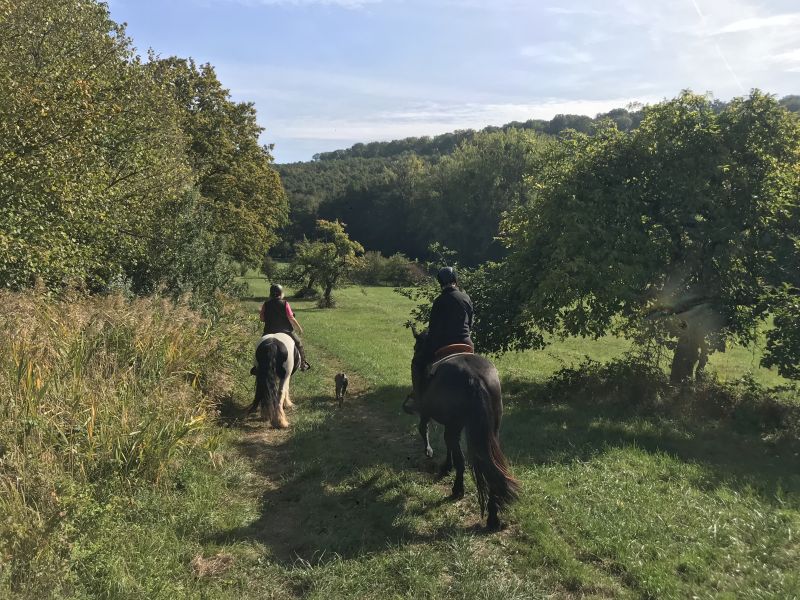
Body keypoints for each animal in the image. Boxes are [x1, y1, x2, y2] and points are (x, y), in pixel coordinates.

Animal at [406, 328, 520, 528]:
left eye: (417, 346)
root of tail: (475, 378)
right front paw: (445, 466)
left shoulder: (429, 414)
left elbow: (424, 429)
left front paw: (434, 456)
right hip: (490, 431)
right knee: (490, 466)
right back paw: (493, 517)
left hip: (456, 423)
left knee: (459, 457)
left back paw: (457, 489)